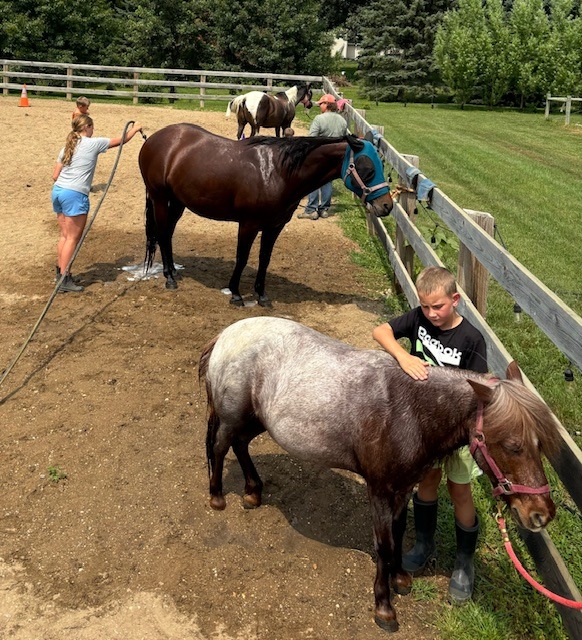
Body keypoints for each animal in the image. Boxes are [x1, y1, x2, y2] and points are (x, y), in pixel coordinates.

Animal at [201, 318, 560, 632]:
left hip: (255, 419)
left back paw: (253, 492)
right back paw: (217, 496)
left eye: (540, 443)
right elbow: (385, 545)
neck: (411, 412)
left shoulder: (402, 489)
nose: (541, 514)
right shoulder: (380, 491)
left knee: (240, 445)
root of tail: (226, 334)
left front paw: (400, 577)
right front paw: (384, 608)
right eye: (512, 445)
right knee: (220, 447)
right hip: (233, 417)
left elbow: (399, 533)